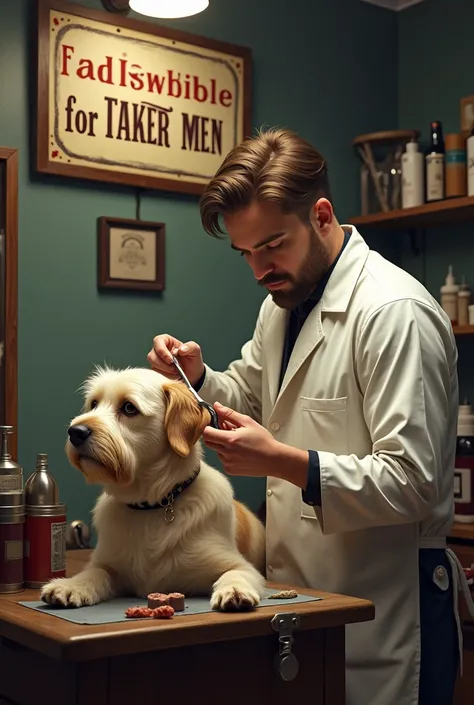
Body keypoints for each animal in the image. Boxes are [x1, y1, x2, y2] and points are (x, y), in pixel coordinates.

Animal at [40, 368, 266, 612]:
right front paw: (70, 585)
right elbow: (93, 573)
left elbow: (235, 574)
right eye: (94, 404)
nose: (75, 432)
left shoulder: (241, 566)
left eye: (129, 408)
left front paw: (234, 590)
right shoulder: (107, 564)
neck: (152, 505)